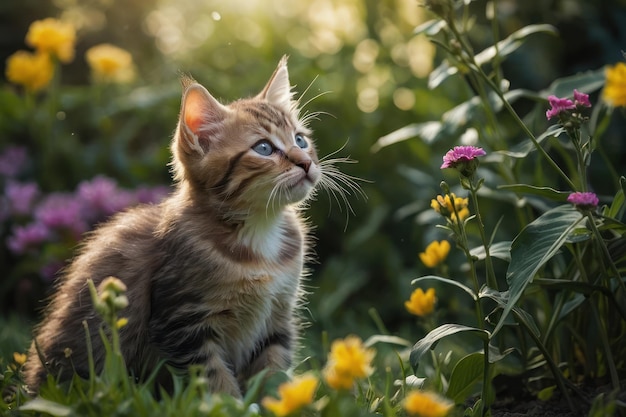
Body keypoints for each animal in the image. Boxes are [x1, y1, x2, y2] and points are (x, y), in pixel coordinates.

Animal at [24, 56, 348, 396]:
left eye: (301, 140)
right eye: (263, 148)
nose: (306, 162)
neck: (259, 229)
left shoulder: (278, 315)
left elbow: (272, 372)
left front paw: (281, 400)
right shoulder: (182, 322)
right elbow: (214, 379)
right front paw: (231, 403)